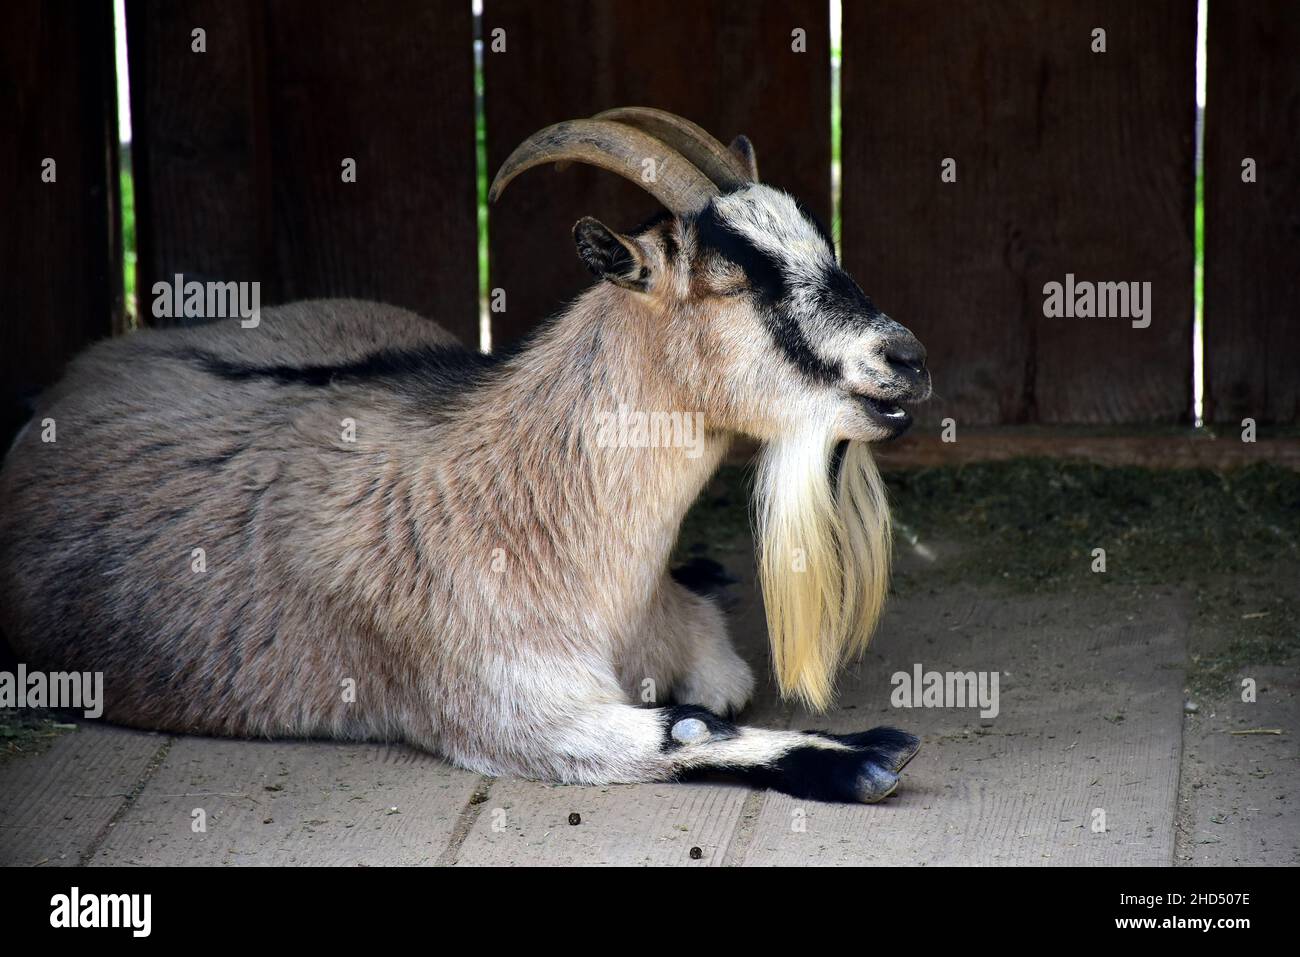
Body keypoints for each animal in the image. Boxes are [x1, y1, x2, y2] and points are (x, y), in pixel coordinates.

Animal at [0, 108, 935, 806]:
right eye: (735, 277)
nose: (906, 358)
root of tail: (86, 371)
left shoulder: (694, 650)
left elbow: (715, 690)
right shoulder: (505, 705)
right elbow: (682, 727)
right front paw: (865, 754)